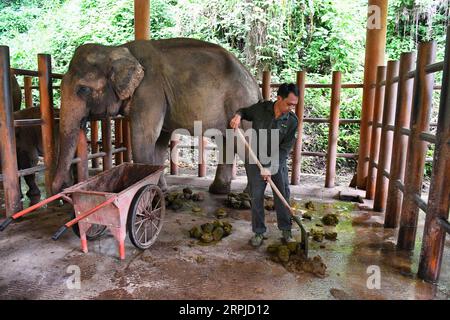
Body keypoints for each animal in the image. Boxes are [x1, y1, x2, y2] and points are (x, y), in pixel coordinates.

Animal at [50, 38, 260, 194]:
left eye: (83, 89)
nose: (63, 189)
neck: (117, 49)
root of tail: (254, 81)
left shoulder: (149, 90)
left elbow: (144, 137)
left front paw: (147, 192)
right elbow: (159, 141)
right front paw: (161, 190)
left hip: (240, 103)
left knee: (245, 142)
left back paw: (247, 197)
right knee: (227, 141)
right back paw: (218, 191)